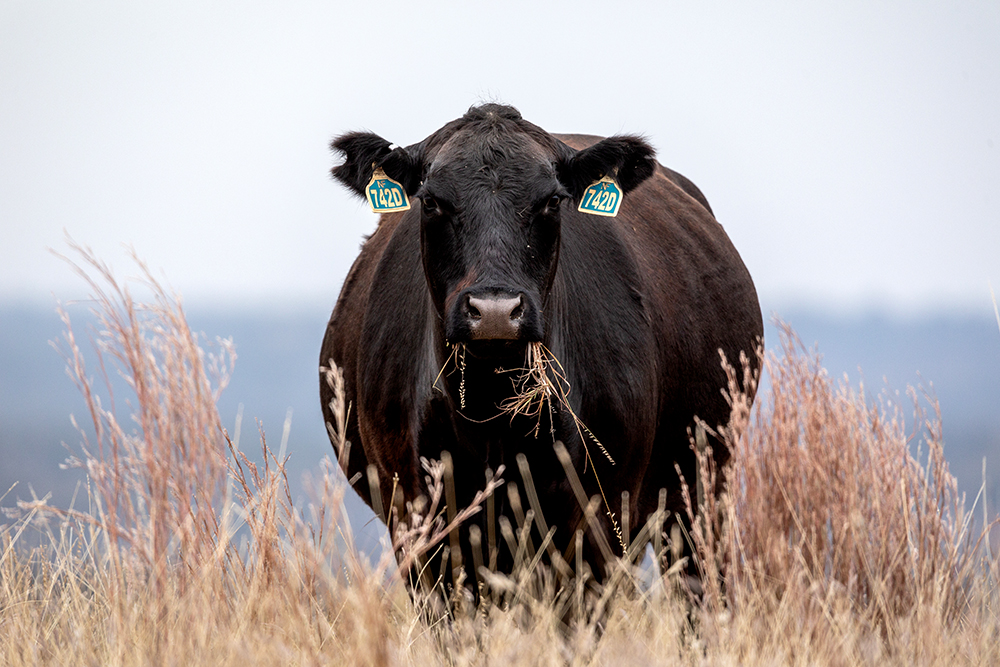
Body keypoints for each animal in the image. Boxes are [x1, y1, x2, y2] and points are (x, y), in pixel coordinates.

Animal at [319, 104, 763, 594]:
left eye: (551, 201)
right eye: (431, 201)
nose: (495, 310)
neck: (491, 422)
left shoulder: (600, 519)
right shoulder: (417, 521)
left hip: (699, 493)